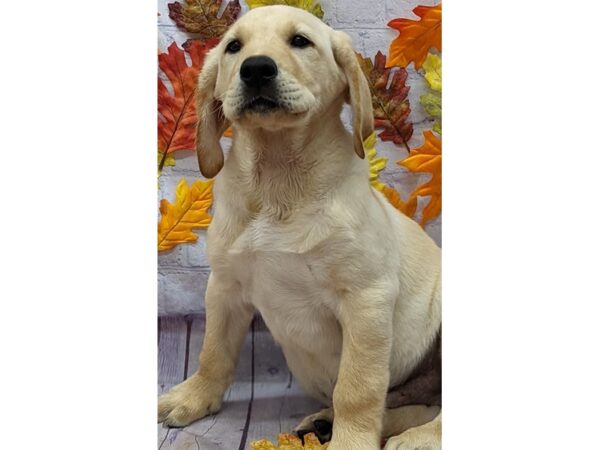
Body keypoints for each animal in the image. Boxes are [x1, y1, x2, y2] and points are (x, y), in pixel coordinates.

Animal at [158, 4, 440, 450]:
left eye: (300, 41)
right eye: (234, 47)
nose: (256, 69)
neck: (278, 180)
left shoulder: (366, 298)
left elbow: (357, 388)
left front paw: (351, 442)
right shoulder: (224, 286)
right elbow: (213, 351)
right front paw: (194, 397)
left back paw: (417, 438)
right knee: (420, 401)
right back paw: (327, 423)